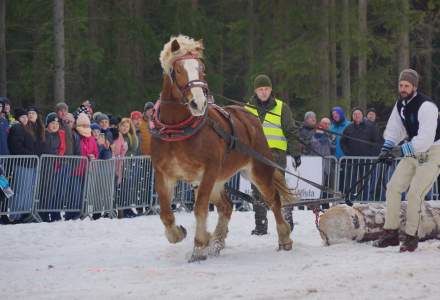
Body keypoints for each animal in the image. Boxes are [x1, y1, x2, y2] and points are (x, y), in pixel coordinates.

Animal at [150, 34, 296, 262]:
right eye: (178, 69)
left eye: (201, 69)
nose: (198, 103)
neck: (176, 130)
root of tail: (248, 116)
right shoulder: (163, 173)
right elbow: (165, 213)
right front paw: (180, 234)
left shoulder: (209, 170)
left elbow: (200, 208)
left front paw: (199, 246)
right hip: (217, 181)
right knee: (226, 206)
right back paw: (217, 241)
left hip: (257, 170)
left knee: (273, 200)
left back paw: (284, 238)